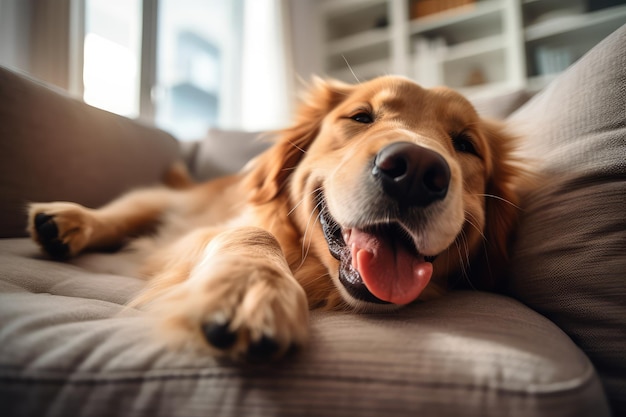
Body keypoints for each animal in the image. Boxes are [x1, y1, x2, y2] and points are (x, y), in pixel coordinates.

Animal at [30, 75, 528, 360]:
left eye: (465, 144)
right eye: (361, 117)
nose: (415, 172)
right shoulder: (201, 233)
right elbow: (252, 233)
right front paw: (252, 286)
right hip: (156, 203)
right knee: (117, 215)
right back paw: (65, 220)